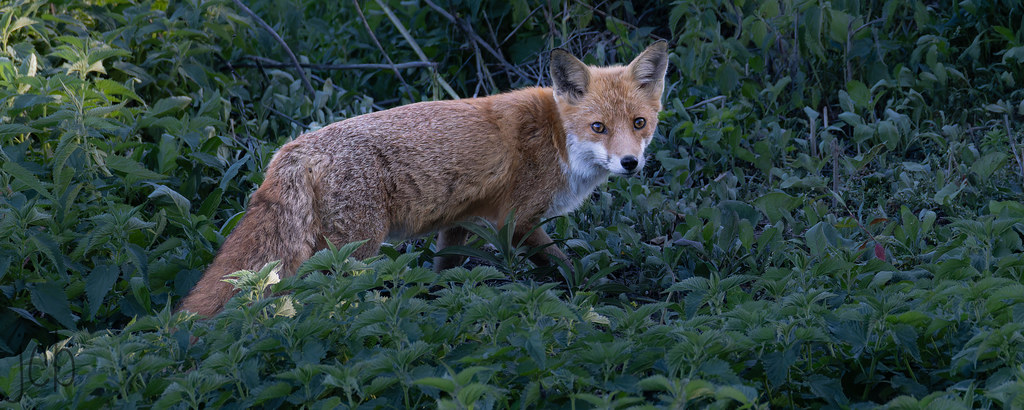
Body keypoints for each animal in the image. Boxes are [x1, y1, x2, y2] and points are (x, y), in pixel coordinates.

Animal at [177, 41, 669, 317]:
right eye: (598, 127)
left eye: (639, 123)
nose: (630, 163)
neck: (555, 137)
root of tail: (292, 149)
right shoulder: (516, 223)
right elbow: (565, 266)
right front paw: (595, 295)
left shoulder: (461, 224)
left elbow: (442, 275)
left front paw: (437, 306)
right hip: (355, 249)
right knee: (327, 293)